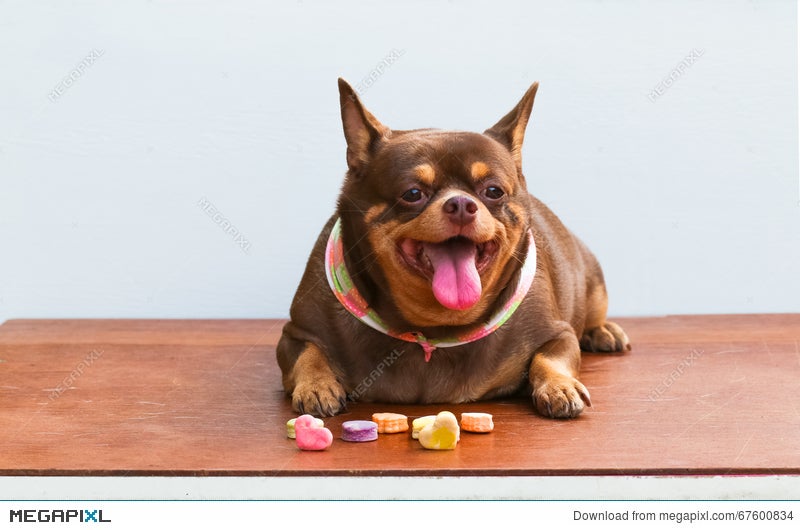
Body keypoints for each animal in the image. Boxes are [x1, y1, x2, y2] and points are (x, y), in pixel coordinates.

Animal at [278, 77, 628, 416]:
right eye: (413, 193)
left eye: (493, 191)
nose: (461, 204)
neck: (433, 327)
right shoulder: (295, 334)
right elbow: (307, 354)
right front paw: (317, 386)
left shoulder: (559, 335)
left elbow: (550, 357)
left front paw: (559, 387)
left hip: (593, 284)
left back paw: (603, 331)